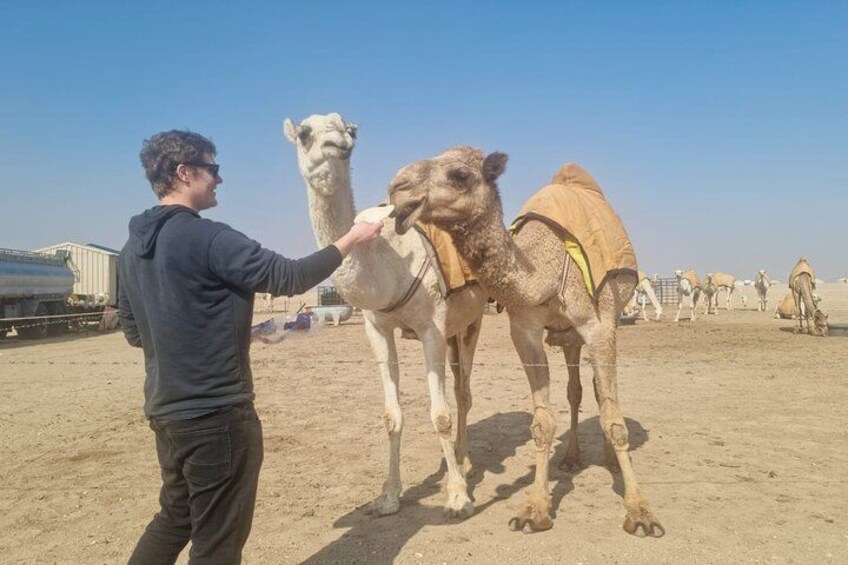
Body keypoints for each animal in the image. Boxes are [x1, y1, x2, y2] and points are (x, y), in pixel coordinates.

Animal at [284, 114, 488, 518]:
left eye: (350, 128)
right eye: (305, 133)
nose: (339, 139)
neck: (385, 261)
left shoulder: (431, 328)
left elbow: (440, 415)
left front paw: (458, 496)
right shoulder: (376, 328)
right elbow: (391, 416)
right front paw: (388, 497)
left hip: (472, 320)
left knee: (463, 393)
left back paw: (465, 461)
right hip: (453, 330)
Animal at [388, 147, 663, 537]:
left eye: (460, 175)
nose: (397, 187)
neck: (544, 272)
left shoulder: (599, 326)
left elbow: (614, 419)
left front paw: (640, 513)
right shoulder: (525, 330)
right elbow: (542, 423)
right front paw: (534, 511)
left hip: (603, 319)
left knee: (599, 393)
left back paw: (609, 460)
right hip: (567, 337)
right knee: (576, 389)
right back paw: (571, 458)